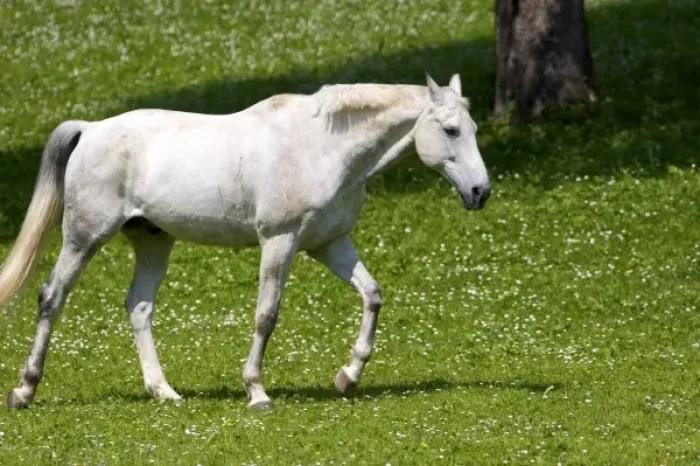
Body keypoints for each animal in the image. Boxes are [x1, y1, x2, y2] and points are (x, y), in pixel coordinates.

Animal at [0, 73, 491, 409]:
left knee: (138, 306)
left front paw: (347, 376)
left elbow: (372, 295)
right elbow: (266, 315)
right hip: (84, 239)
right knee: (51, 296)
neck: (321, 147)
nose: (480, 192)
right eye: (451, 130)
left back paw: (164, 392)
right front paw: (257, 392)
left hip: (154, 242)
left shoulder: (330, 244)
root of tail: (90, 128)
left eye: (473, 129)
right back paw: (24, 389)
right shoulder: (279, 242)